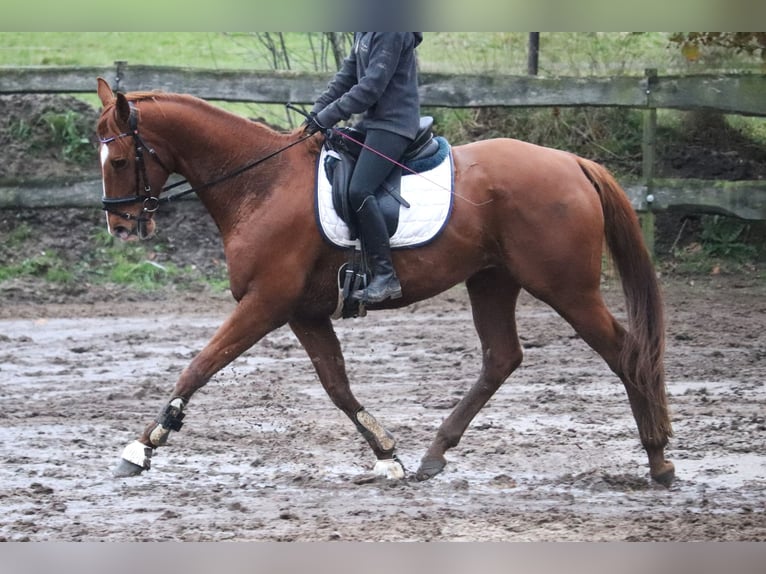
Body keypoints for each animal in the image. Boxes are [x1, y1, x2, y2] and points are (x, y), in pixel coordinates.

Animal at [97, 79, 680, 488]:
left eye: (121, 159)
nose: (120, 227)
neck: (259, 183)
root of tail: (574, 163)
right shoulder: (303, 312)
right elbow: (336, 385)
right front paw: (387, 455)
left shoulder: (265, 303)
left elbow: (199, 365)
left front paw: (141, 448)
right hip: (492, 280)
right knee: (502, 357)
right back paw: (433, 455)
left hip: (566, 288)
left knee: (625, 352)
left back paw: (658, 459)